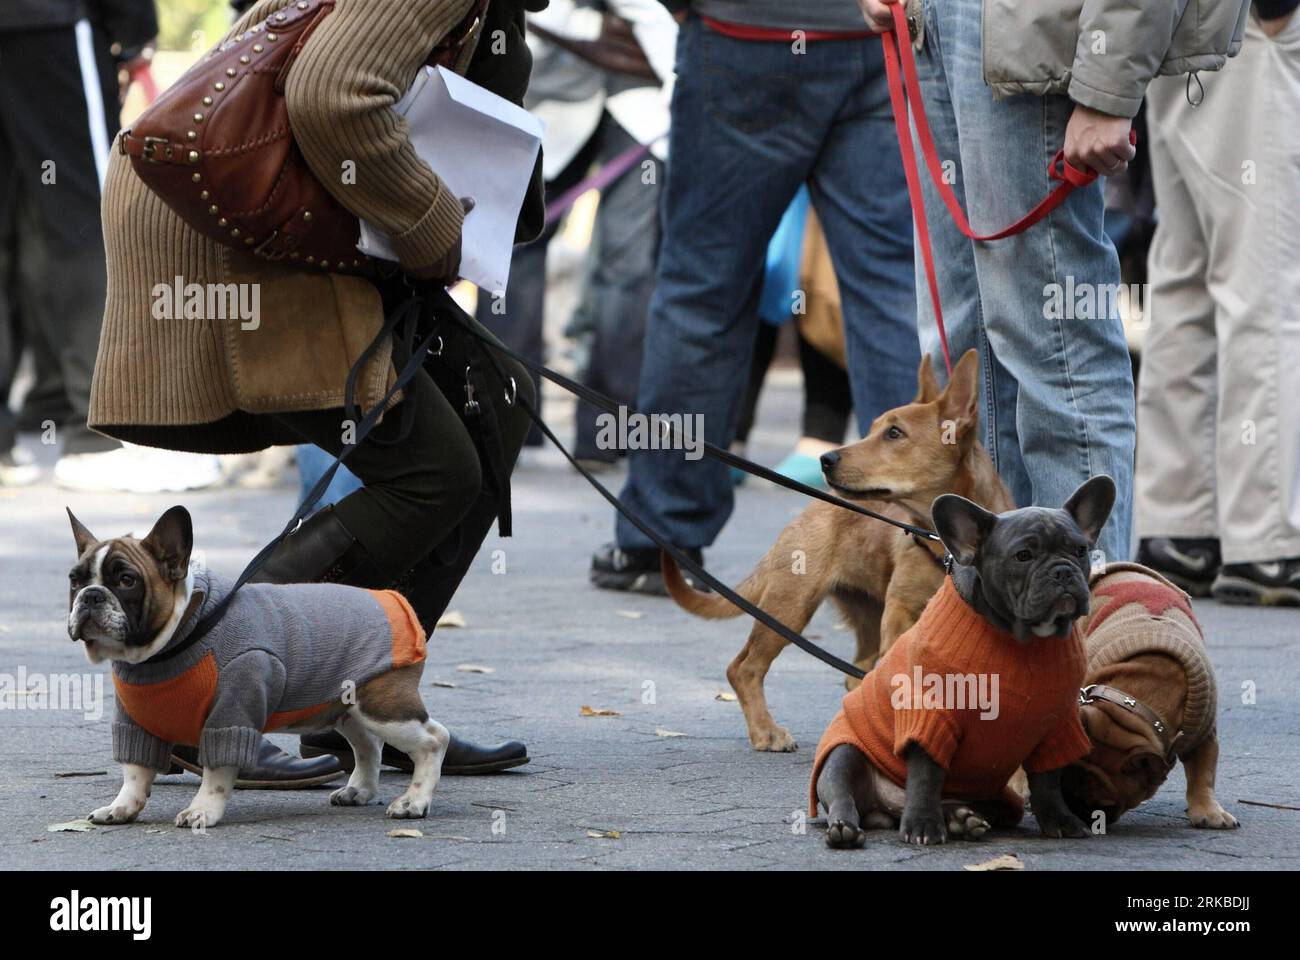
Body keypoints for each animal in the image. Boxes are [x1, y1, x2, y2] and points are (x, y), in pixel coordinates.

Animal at [660, 348, 1013, 749]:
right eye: (873, 427)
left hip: (861, 618)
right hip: (790, 607)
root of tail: (812, 509)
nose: (825, 460)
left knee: (854, 676)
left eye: (894, 433)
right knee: (744, 667)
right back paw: (766, 731)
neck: (943, 545)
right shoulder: (900, 611)